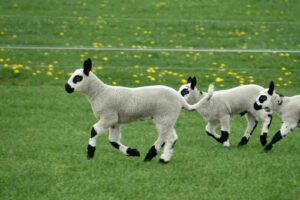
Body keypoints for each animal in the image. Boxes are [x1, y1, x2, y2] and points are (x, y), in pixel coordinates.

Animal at [63, 57, 195, 162]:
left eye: (78, 78)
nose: (67, 88)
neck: (100, 93)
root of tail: (180, 99)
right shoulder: (115, 121)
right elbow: (113, 140)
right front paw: (133, 152)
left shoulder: (108, 117)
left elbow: (94, 130)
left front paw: (90, 154)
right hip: (167, 118)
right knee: (165, 136)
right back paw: (149, 156)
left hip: (165, 116)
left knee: (170, 138)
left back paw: (163, 159)